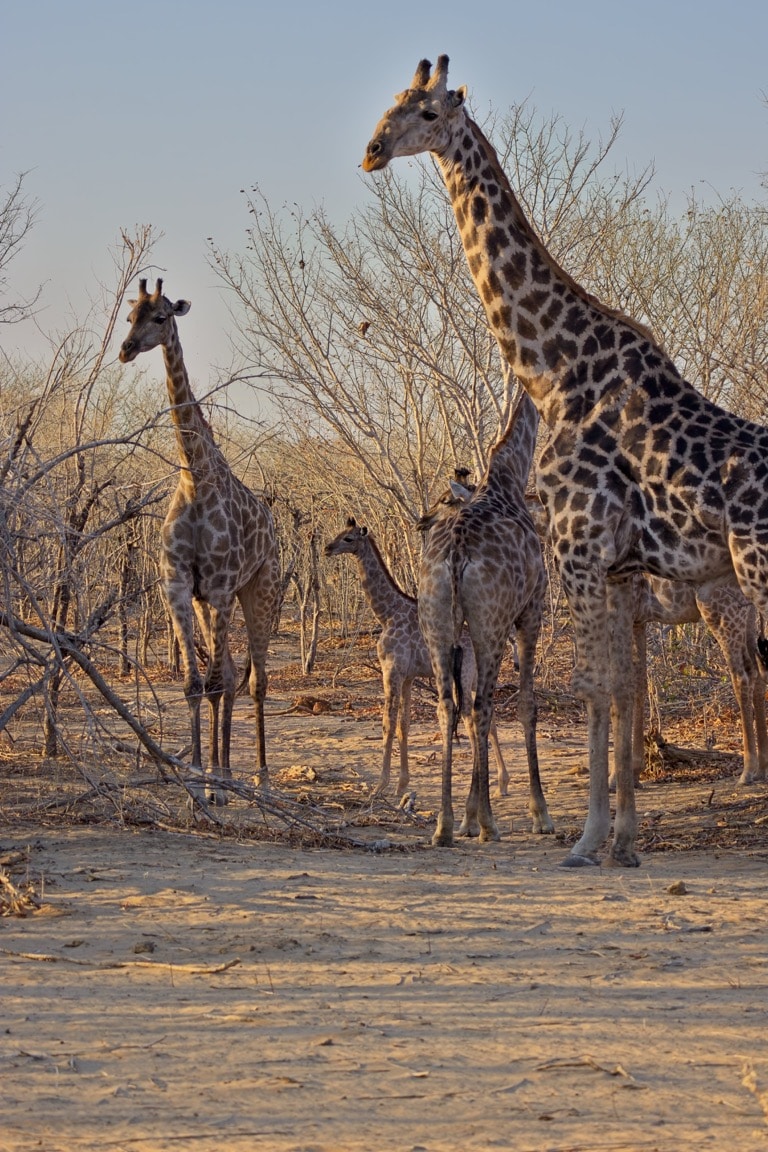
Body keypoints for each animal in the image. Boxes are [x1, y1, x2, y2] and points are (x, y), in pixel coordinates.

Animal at [119, 279, 280, 802]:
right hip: (210, 602)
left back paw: (256, 776)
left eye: (161, 317)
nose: (126, 350)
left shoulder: (223, 587)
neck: (193, 476)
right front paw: (195, 775)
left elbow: (214, 683)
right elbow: (194, 684)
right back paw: (222, 767)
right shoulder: (178, 587)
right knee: (227, 676)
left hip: (259, 590)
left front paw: (218, 784)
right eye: (130, 315)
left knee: (254, 680)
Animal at [324, 517, 511, 797]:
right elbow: (404, 725)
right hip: (477, 676)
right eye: (339, 533)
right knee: (489, 717)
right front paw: (402, 784)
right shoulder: (408, 676)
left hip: (464, 676)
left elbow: (388, 723)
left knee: (469, 717)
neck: (387, 613)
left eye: (348, 538)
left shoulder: (392, 670)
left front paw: (381, 785)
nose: (327, 548)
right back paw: (502, 781)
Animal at [416, 389, 552, 845]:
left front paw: (467, 817)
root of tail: (457, 552)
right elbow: (527, 704)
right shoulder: (530, 612)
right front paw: (539, 813)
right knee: (482, 707)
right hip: (491, 625)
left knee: (448, 706)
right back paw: (490, 824)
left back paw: (443, 825)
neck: (509, 477)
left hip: (436, 623)